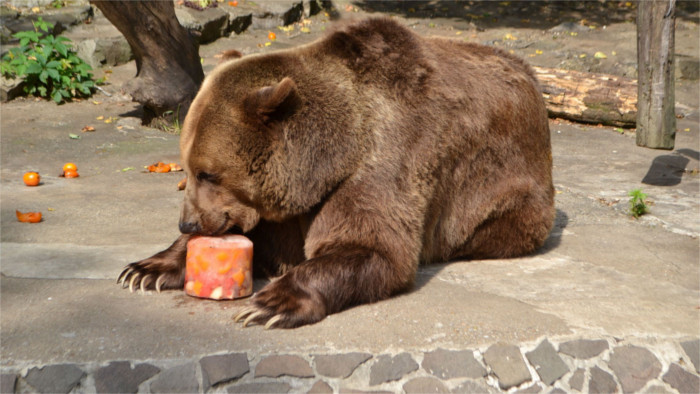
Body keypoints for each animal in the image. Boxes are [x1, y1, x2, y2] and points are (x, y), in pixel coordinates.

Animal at [121, 16, 556, 328]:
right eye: (188, 167)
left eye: (208, 173)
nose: (189, 224)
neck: (327, 161)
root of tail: (531, 77)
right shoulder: (286, 208)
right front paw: (145, 269)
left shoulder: (385, 159)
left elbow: (370, 246)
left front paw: (270, 304)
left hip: (507, 188)